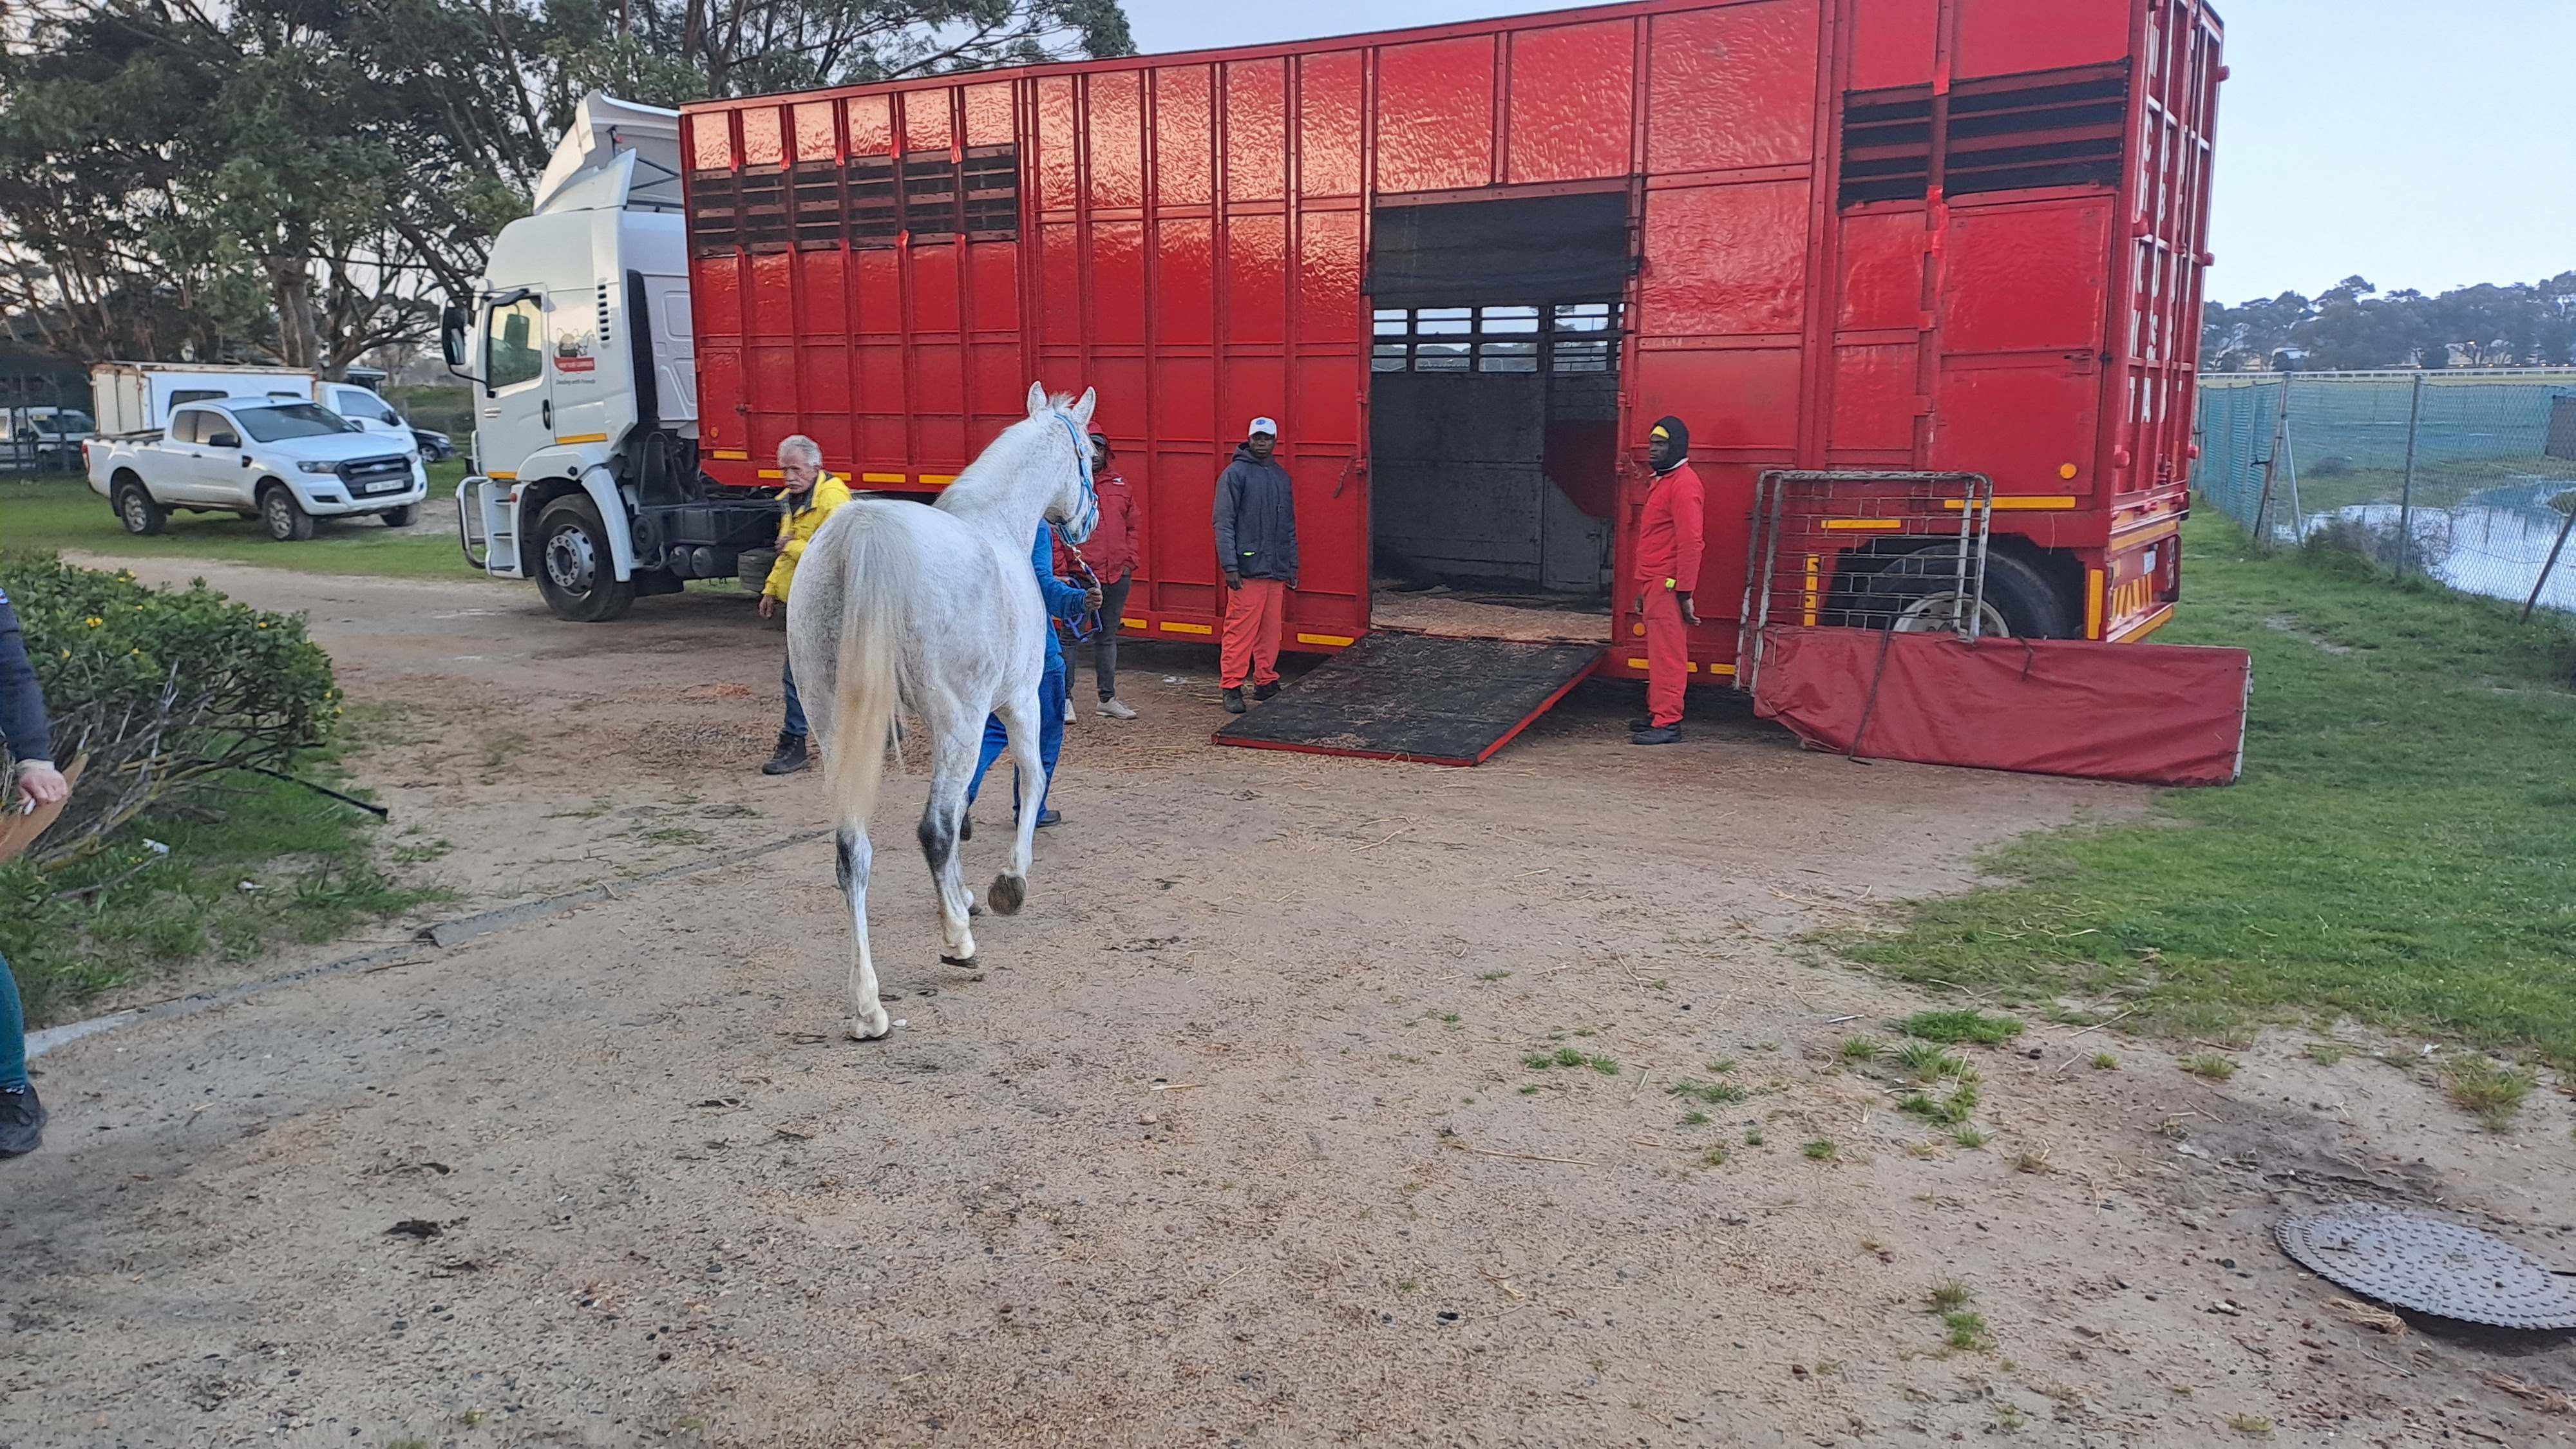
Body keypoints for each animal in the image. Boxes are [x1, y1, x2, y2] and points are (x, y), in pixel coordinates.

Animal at [788, 384, 1103, 1036]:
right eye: (1088, 454)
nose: (1090, 520)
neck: (998, 527)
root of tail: (863, 529)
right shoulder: (1013, 704)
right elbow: (1028, 779)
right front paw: (1007, 883)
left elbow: (964, 808)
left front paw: (964, 896)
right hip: (960, 720)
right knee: (932, 828)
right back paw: (957, 944)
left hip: (833, 727)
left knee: (853, 852)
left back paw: (869, 1006)